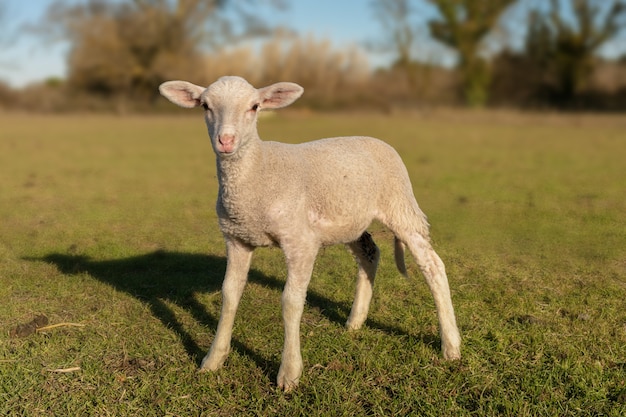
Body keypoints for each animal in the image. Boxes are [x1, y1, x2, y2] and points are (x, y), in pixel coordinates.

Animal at [156, 75, 458, 390]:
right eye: (205, 105)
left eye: (254, 107)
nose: (226, 141)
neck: (259, 169)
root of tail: (376, 140)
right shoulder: (237, 238)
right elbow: (229, 295)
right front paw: (213, 360)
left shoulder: (300, 241)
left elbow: (290, 302)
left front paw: (289, 373)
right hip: (349, 219)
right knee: (370, 254)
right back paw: (355, 322)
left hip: (400, 204)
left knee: (433, 266)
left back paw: (451, 346)